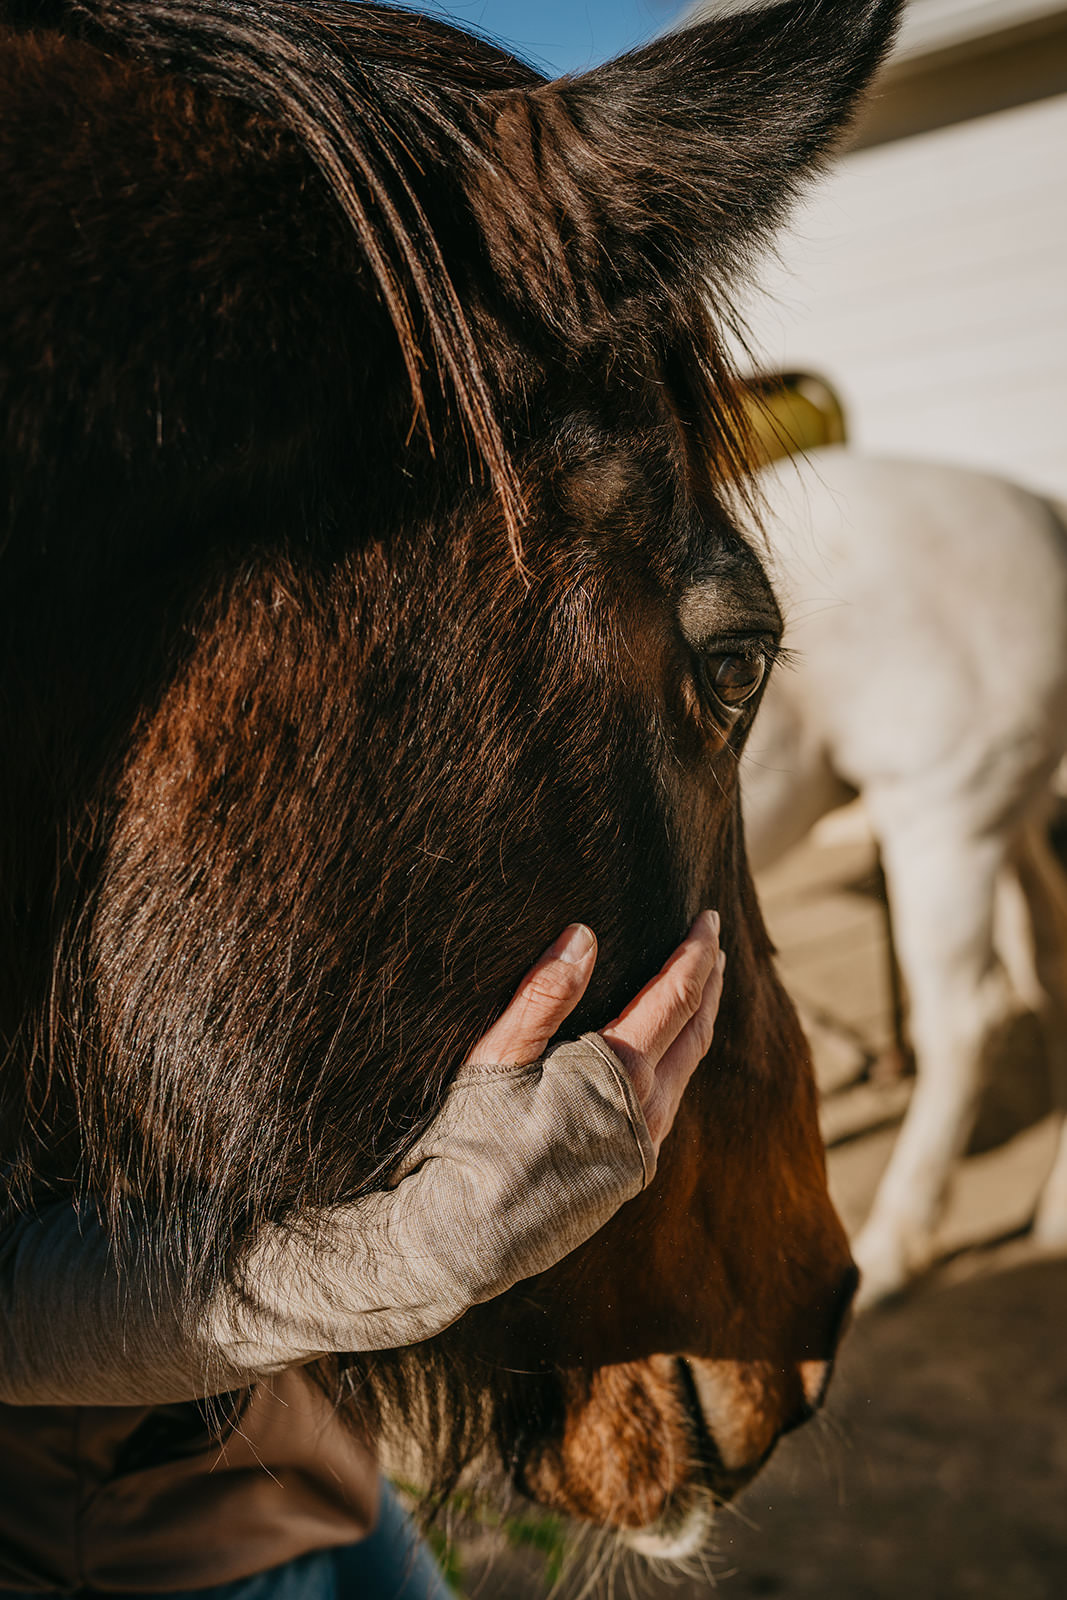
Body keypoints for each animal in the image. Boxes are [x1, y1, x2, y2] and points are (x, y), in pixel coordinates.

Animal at [743, 446, 1067, 1305]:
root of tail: (1039, 512)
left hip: (941, 818)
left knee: (964, 1021)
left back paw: (891, 1249)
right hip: (1008, 812)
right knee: (1050, 968)